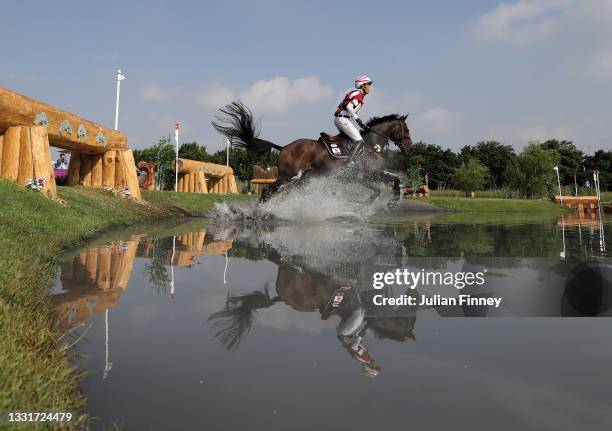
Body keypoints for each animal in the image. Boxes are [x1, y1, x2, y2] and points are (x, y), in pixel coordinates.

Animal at [210, 101, 412, 204]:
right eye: (406, 130)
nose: (409, 148)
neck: (371, 145)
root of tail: (283, 147)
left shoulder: (369, 175)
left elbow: (393, 180)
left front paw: (393, 199)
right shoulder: (364, 176)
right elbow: (379, 189)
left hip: (302, 178)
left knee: (280, 193)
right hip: (287, 176)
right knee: (268, 190)